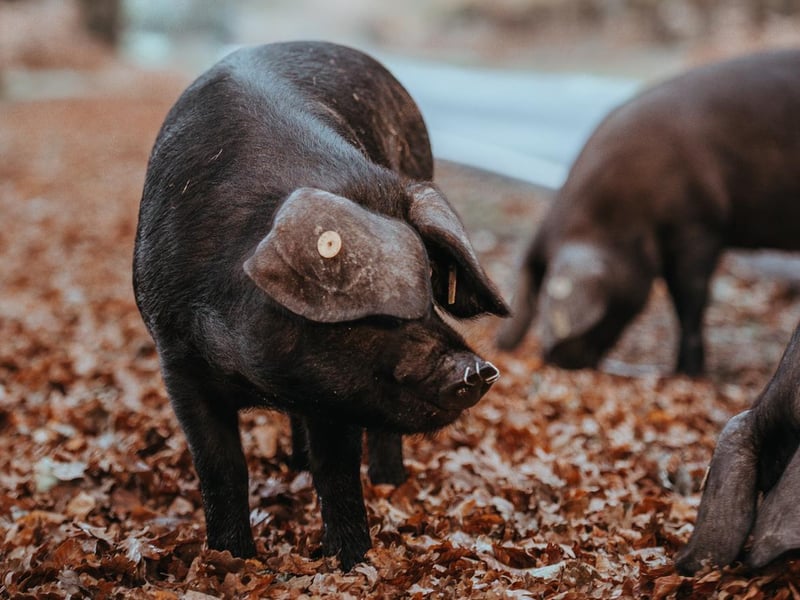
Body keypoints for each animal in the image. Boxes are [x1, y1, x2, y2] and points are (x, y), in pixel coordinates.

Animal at [132, 41, 509, 569]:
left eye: (430, 294)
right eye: (373, 310)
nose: (479, 371)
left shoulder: (338, 393)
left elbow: (338, 470)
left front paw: (352, 561)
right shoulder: (177, 359)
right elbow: (221, 468)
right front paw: (231, 559)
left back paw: (387, 483)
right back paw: (296, 464)